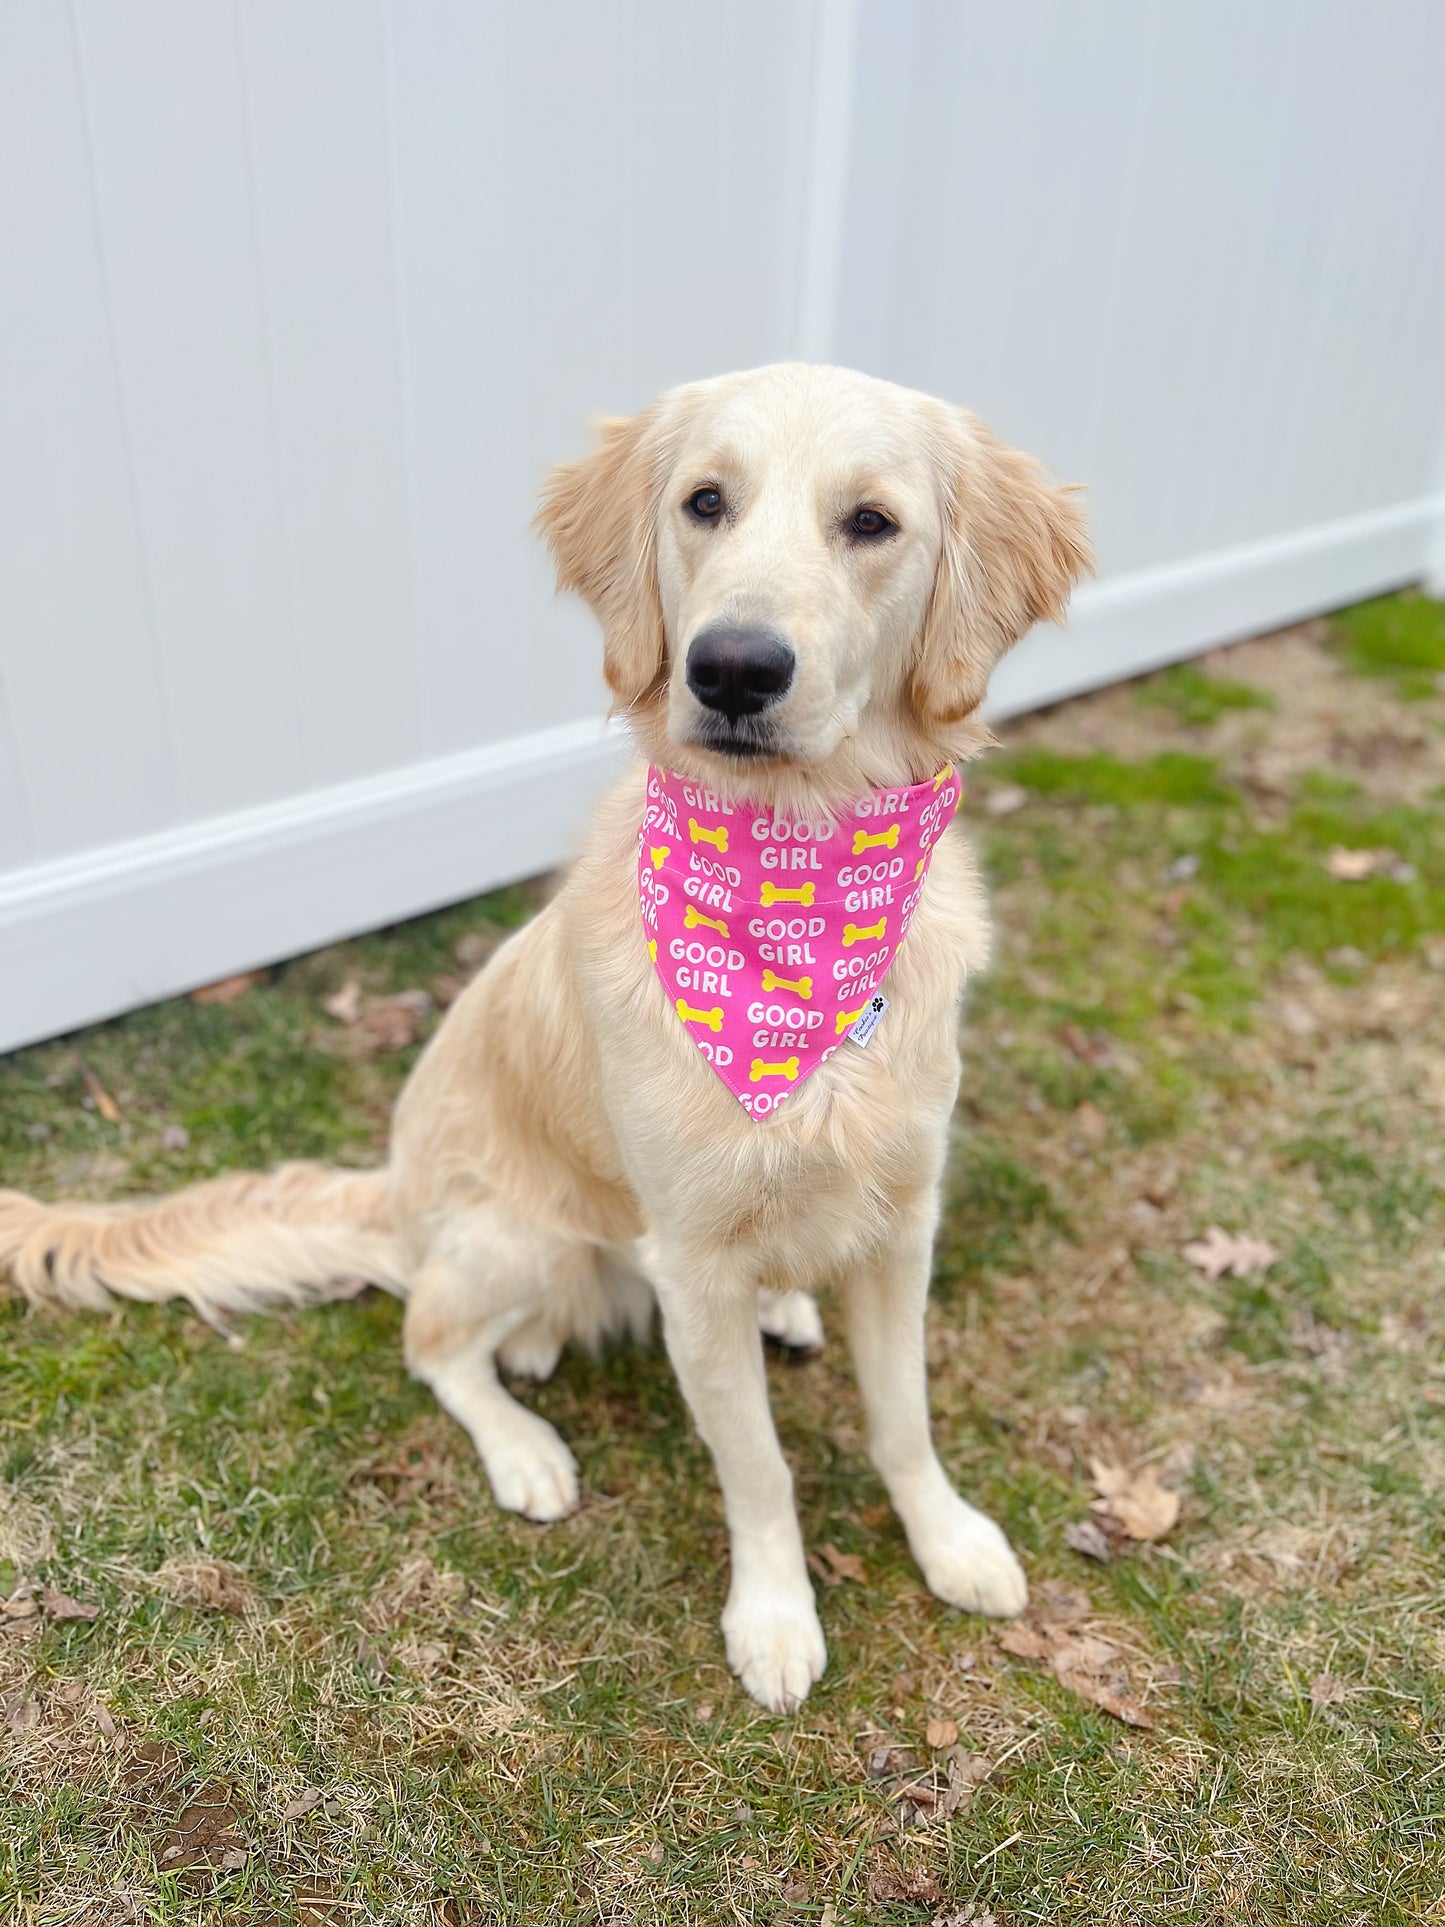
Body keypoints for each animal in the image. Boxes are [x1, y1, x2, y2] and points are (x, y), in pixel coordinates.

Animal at [0, 364, 1086, 1718]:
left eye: (871, 522)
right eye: (704, 501)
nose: (731, 669)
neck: (796, 884)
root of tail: (394, 1189)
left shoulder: (900, 1221)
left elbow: (904, 1418)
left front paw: (947, 1541)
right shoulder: (691, 1264)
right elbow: (760, 1470)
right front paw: (774, 1616)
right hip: (521, 1236)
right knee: (432, 1343)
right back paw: (523, 1445)